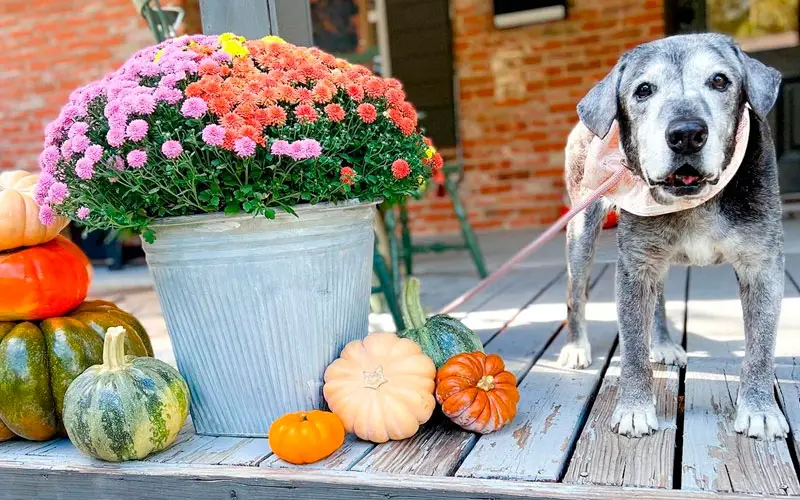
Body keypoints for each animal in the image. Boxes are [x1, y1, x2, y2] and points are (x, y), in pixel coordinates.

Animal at [564, 34, 788, 442]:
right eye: (643, 90)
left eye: (720, 81)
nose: (686, 135)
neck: (695, 200)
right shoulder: (635, 268)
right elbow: (633, 349)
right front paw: (635, 409)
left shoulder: (763, 265)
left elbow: (761, 348)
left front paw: (760, 411)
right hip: (582, 231)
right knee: (575, 295)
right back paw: (576, 347)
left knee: (661, 298)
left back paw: (665, 342)